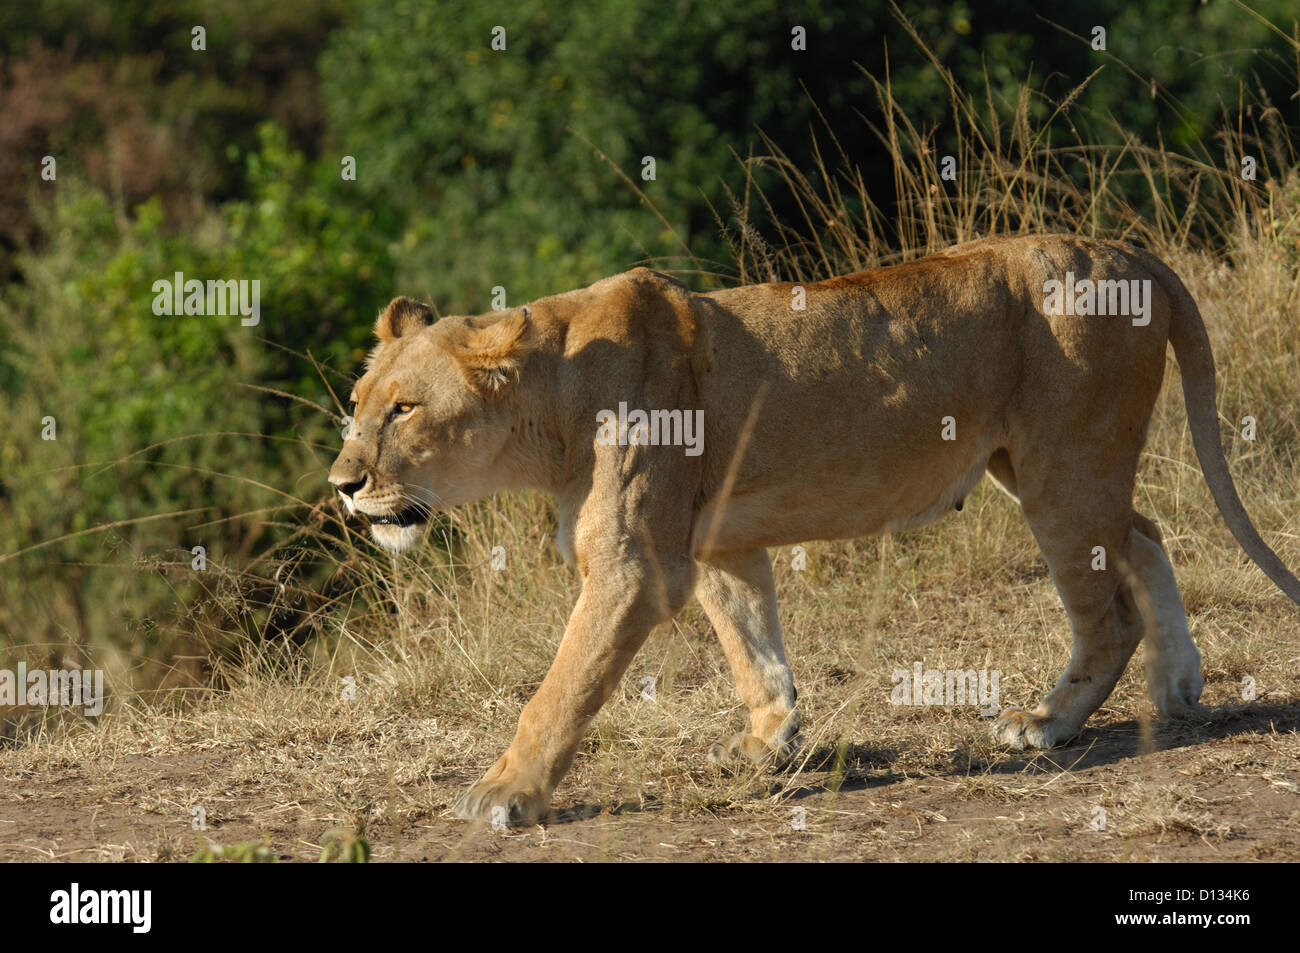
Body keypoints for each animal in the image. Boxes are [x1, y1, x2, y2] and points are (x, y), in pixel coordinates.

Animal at [328, 234, 1300, 825]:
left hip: (1064, 469)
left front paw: (503, 793)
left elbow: (561, 688)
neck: (552, 402)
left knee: (1110, 609)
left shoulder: (636, 566)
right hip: (1044, 465)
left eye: (405, 409)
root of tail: (1124, 246)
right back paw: (1178, 691)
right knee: (1146, 537)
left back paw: (1047, 722)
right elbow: (750, 641)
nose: (342, 484)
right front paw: (771, 743)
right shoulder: (714, 540)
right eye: (357, 404)